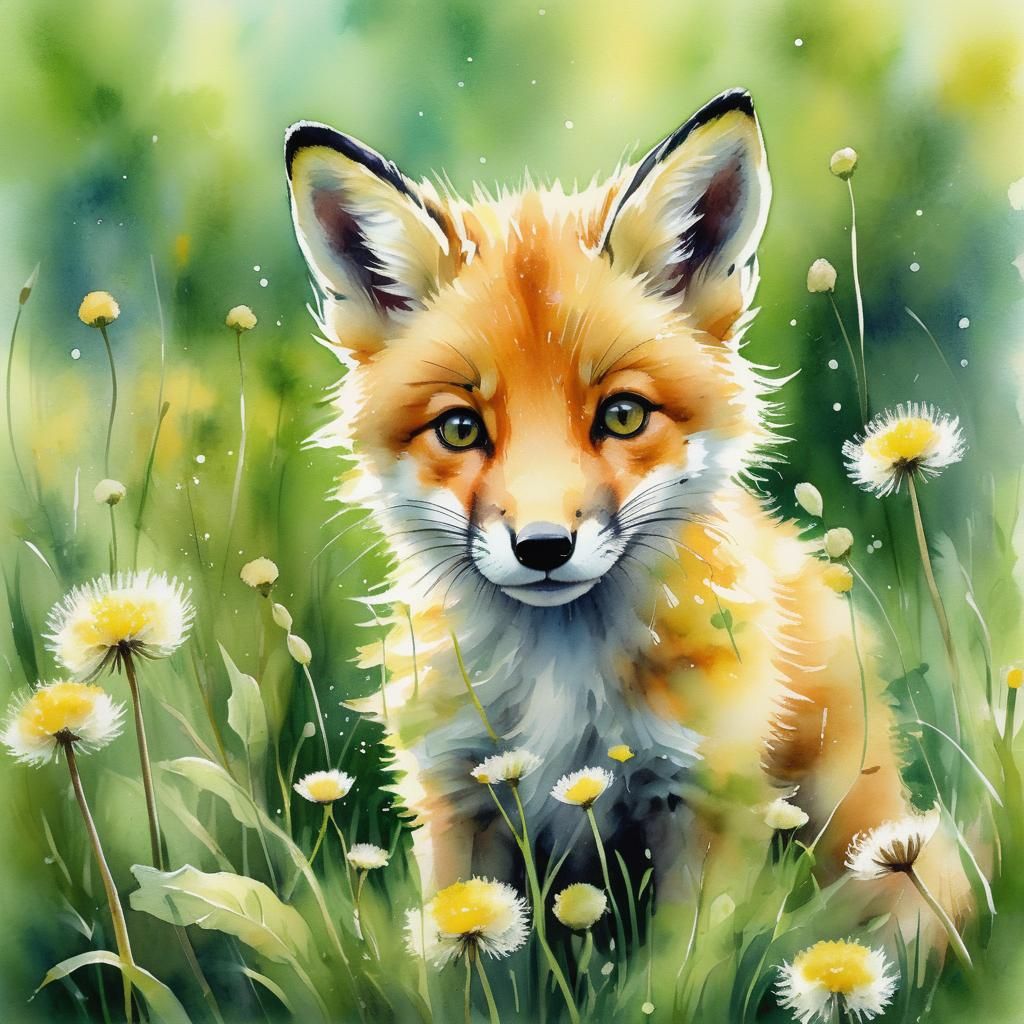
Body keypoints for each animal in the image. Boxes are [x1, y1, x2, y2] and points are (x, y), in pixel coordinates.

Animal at [283, 89, 969, 930]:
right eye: (460, 428)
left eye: (622, 415)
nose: (544, 547)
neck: (561, 689)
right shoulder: (461, 800)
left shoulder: (703, 803)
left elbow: (683, 962)